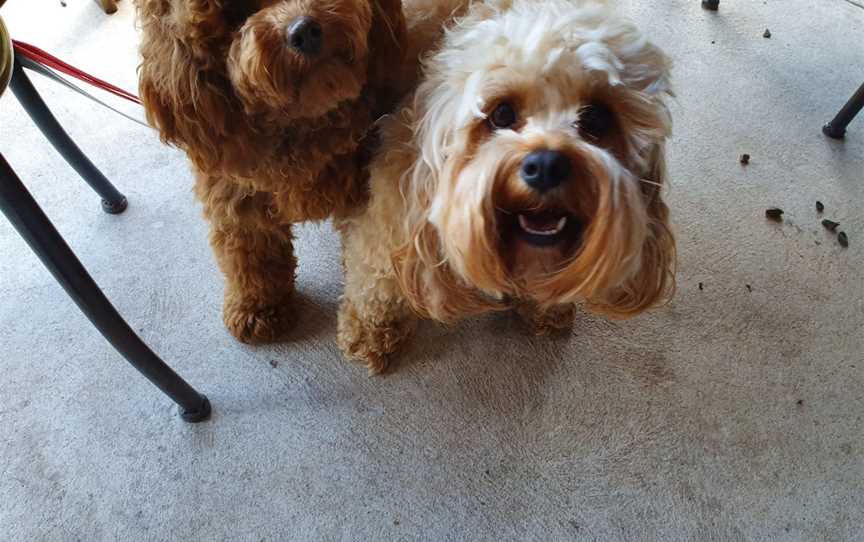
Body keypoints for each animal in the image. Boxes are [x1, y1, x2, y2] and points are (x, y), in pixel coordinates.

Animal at [135, 1, 404, 344]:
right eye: (234, 11)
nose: (304, 30)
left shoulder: (364, 190)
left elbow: (368, 261)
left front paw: (371, 328)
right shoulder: (235, 201)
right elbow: (251, 259)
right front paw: (259, 310)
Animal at [338, 0, 676, 374]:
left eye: (597, 119)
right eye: (501, 114)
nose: (546, 166)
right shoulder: (390, 209)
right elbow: (375, 278)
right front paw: (371, 330)